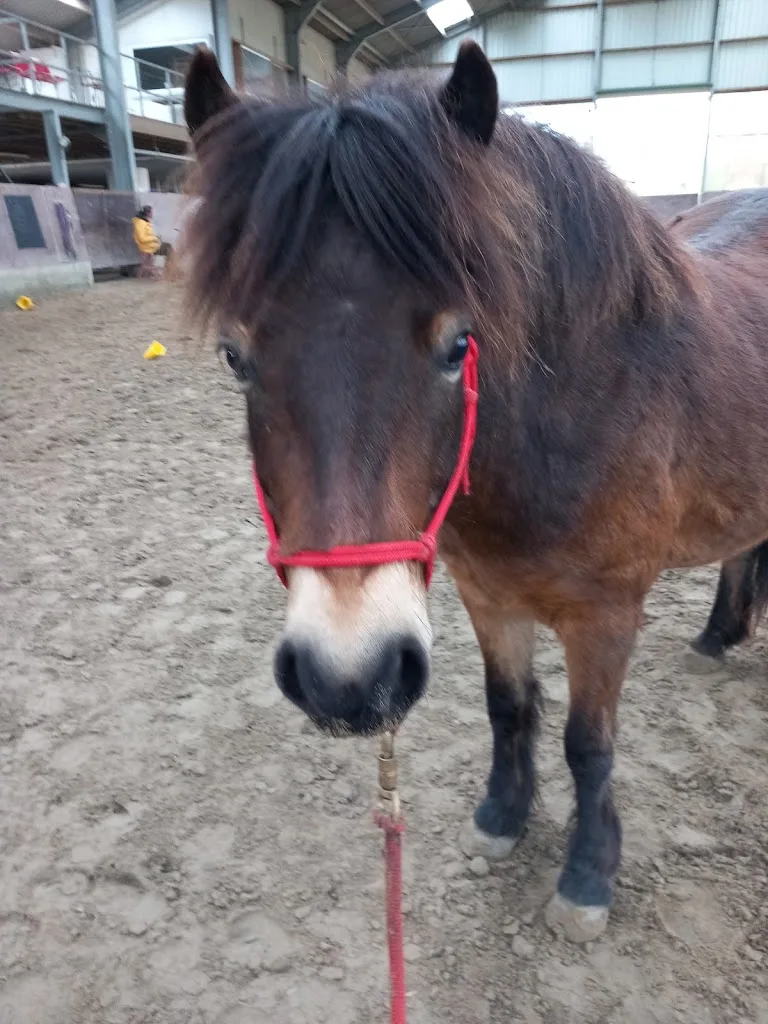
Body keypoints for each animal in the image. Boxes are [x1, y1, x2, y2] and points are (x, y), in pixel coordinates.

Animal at [181, 43, 768, 943]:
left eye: (460, 345)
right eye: (234, 356)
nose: (345, 679)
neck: (576, 414)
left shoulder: (606, 616)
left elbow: (588, 744)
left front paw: (588, 875)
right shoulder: (486, 592)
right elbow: (507, 706)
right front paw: (503, 816)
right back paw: (717, 633)